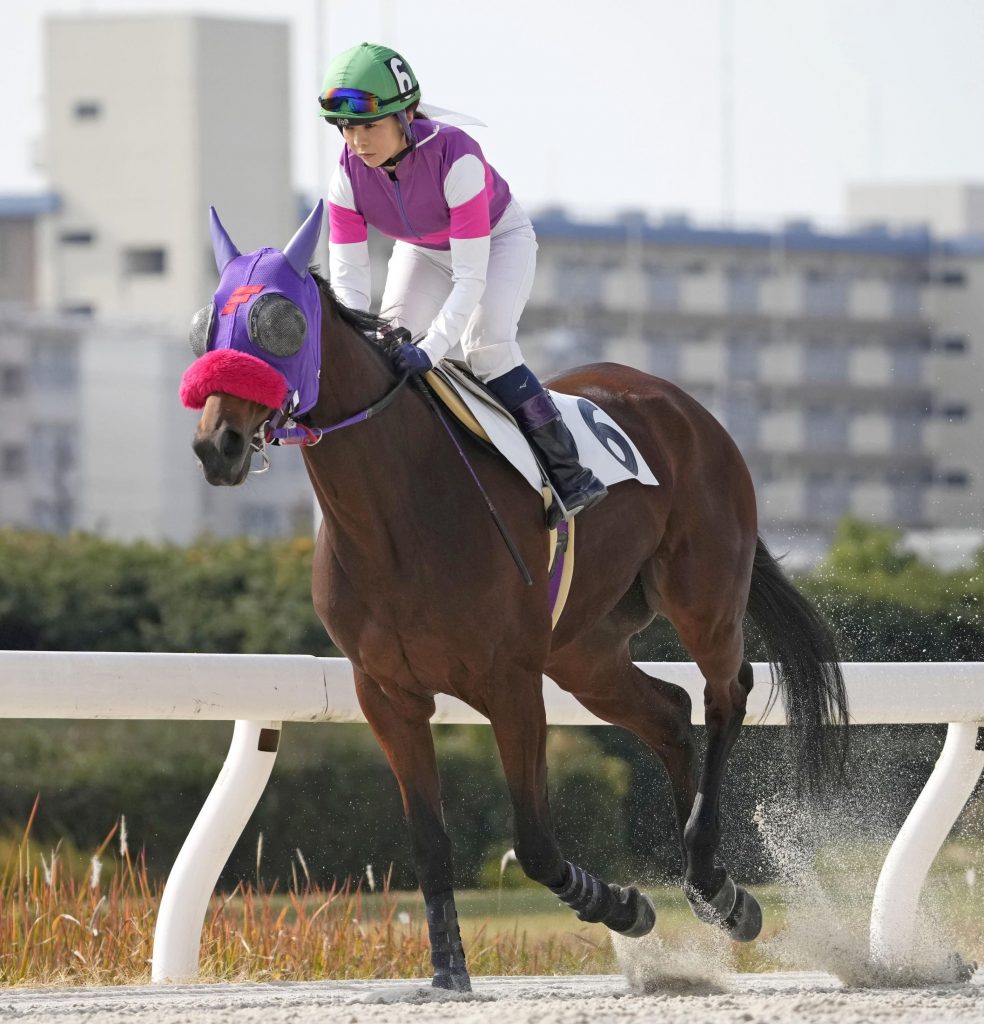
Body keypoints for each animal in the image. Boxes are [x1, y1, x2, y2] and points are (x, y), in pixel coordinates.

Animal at [182, 203, 843, 987]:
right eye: (209, 324)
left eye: (279, 324)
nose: (217, 444)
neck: (397, 513)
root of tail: (682, 404)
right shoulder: (387, 693)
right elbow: (430, 840)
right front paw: (448, 969)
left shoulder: (511, 682)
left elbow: (532, 842)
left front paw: (621, 905)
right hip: (584, 650)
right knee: (669, 713)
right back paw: (707, 886)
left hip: (702, 595)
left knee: (724, 693)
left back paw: (718, 887)